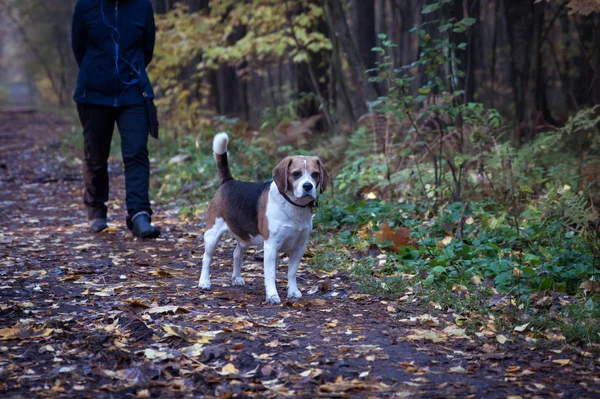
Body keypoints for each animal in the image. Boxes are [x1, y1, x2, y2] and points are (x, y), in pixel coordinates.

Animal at [198, 133, 330, 304]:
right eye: (296, 174)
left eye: (315, 174)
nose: (308, 186)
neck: (293, 206)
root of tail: (229, 182)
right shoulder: (271, 246)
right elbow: (270, 274)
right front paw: (272, 295)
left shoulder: (299, 247)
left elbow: (292, 272)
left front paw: (293, 291)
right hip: (212, 236)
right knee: (206, 258)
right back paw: (204, 282)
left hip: (245, 236)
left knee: (236, 254)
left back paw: (236, 278)